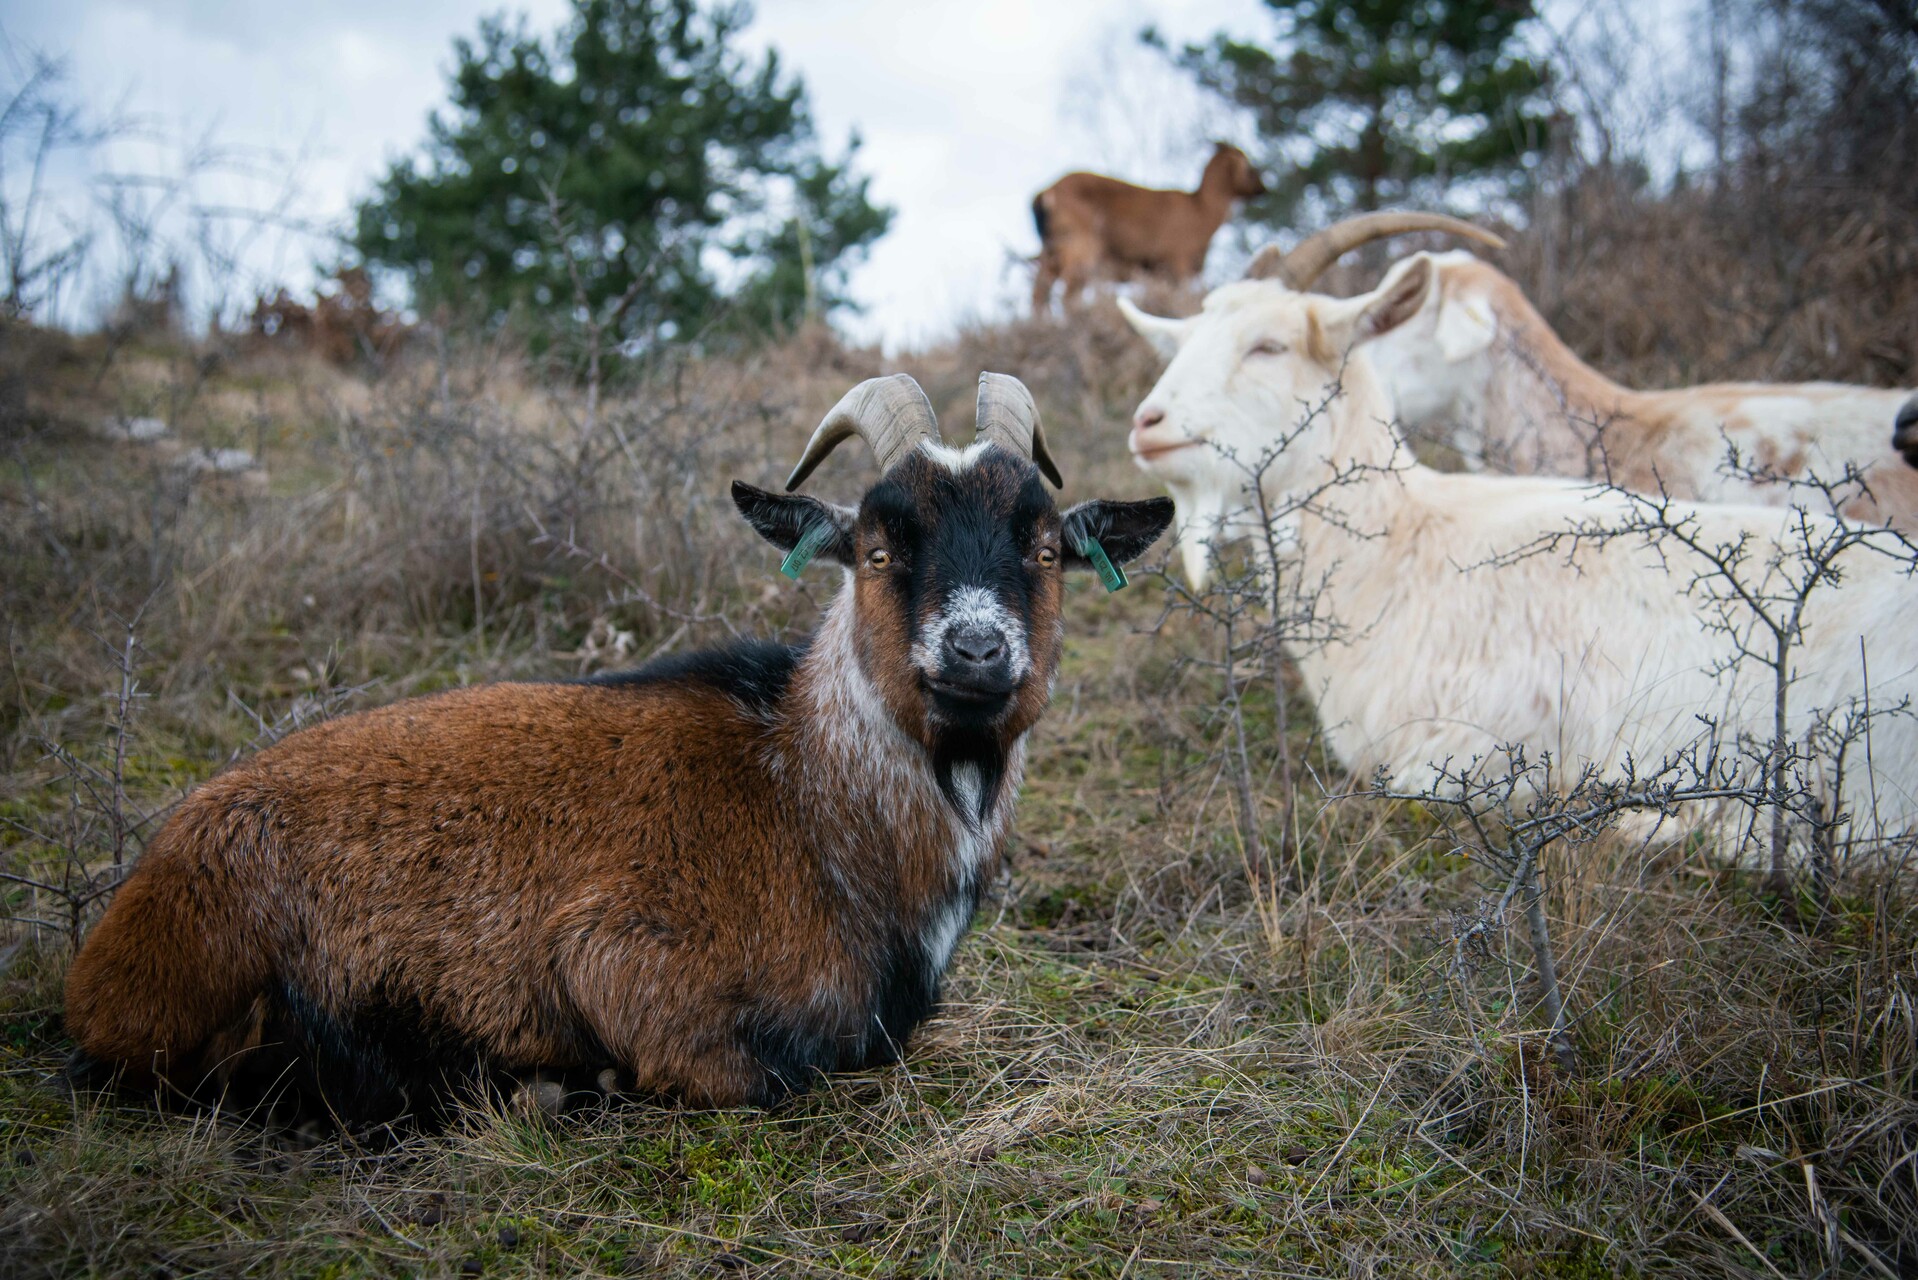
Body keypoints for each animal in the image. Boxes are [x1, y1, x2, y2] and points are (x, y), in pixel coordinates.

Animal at [63, 370, 1166, 1120]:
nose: (976, 652)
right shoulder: (628, 966)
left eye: (1044, 548)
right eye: (878, 548)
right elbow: (756, 1070)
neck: (804, 795)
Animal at [1028, 142, 1265, 314]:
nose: (1263, 188)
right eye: (1248, 166)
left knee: (1040, 289)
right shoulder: (1178, 258)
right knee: (1067, 292)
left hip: (1051, 247)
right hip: (1080, 246)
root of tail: (1044, 193)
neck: (1202, 211)